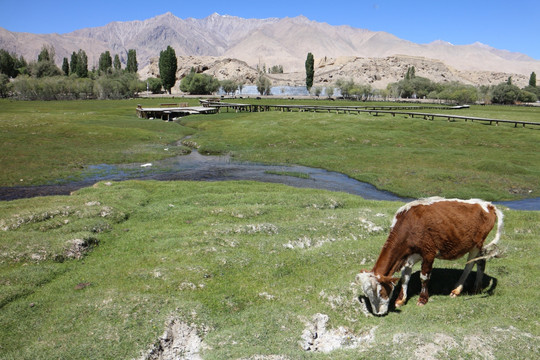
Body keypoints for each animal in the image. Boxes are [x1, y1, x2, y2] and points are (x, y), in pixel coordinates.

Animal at [356, 197, 504, 316]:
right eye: (367, 295)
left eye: (380, 292)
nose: (378, 313)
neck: (410, 225)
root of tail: (487, 204)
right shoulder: (409, 256)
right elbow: (405, 277)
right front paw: (400, 300)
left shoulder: (429, 253)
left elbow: (424, 277)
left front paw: (422, 299)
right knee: (481, 262)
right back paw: (476, 288)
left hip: (476, 244)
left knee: (470, 264)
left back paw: (457, 290)